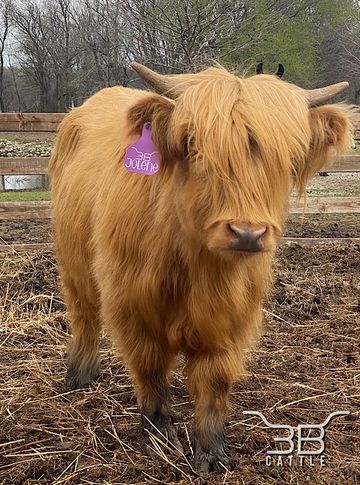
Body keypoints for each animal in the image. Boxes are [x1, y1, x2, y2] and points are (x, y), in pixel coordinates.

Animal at [49, 63, 350, 472]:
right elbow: (151, 369)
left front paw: (212, 453)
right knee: (83, 314)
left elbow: (214, 382)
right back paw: (79, 373)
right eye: (193, 145)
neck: (196, 267)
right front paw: (159, 437)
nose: (247, 232)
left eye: (290, 156)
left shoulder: (230, 319)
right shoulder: (132, 306)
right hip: (73, 260)